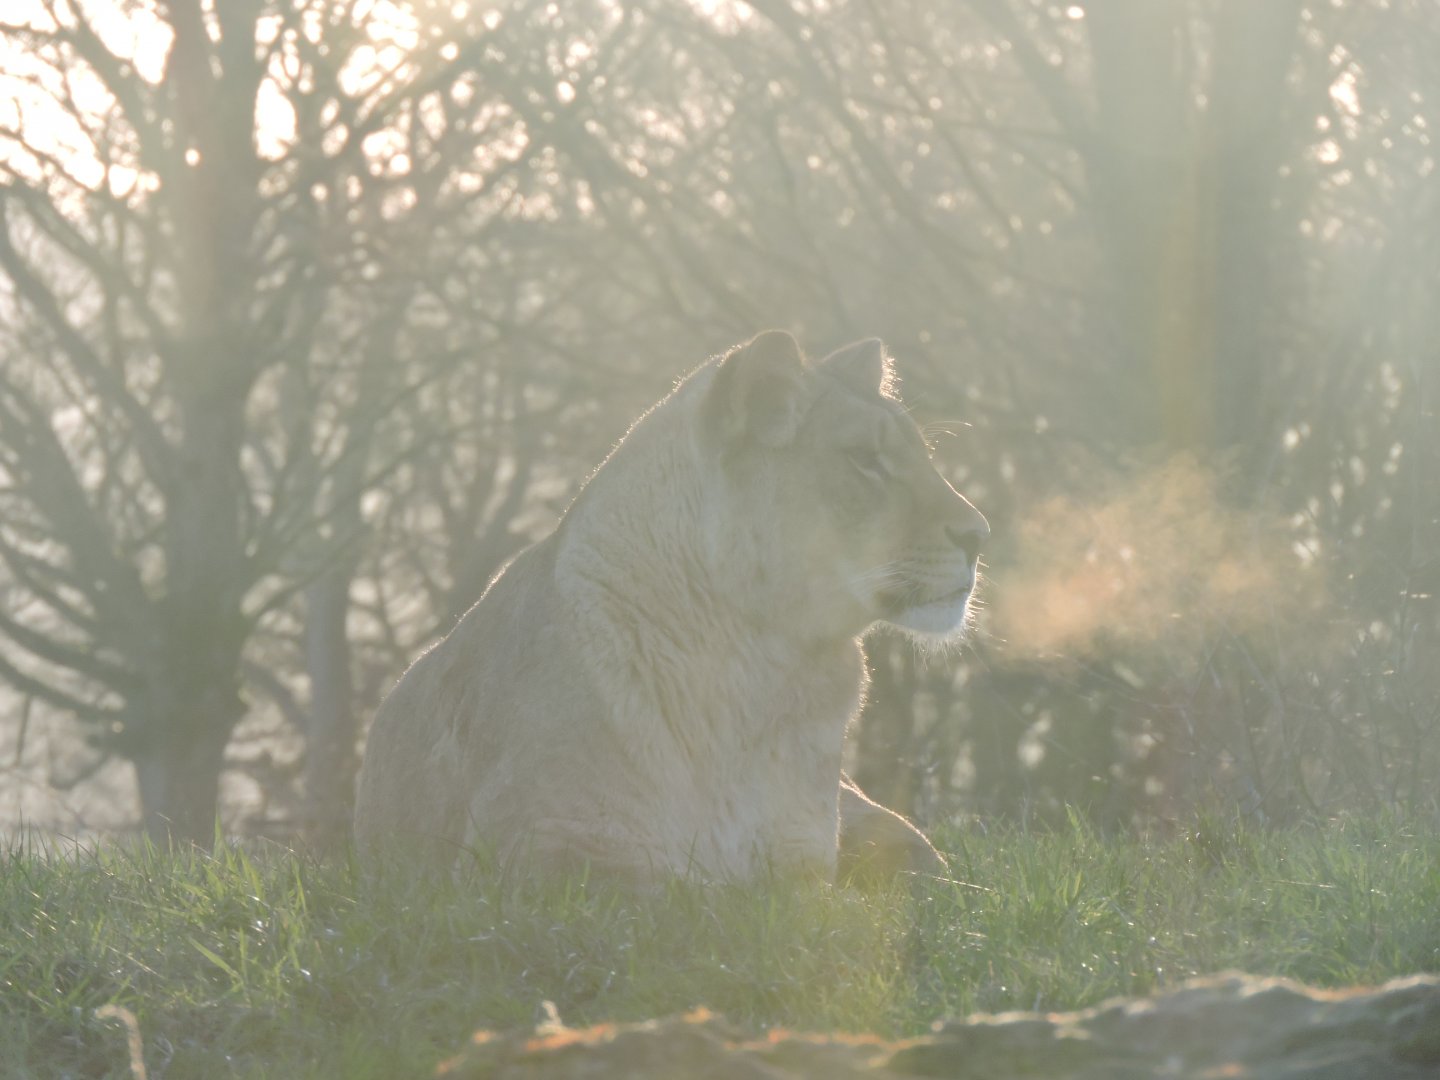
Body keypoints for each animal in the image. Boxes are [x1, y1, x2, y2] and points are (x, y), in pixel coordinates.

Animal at [353, 331, 988, 886]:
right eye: (864, 459)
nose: (980, 534)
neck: (761, 670)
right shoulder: (527, 853)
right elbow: (688, 899)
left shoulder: (807, 861)